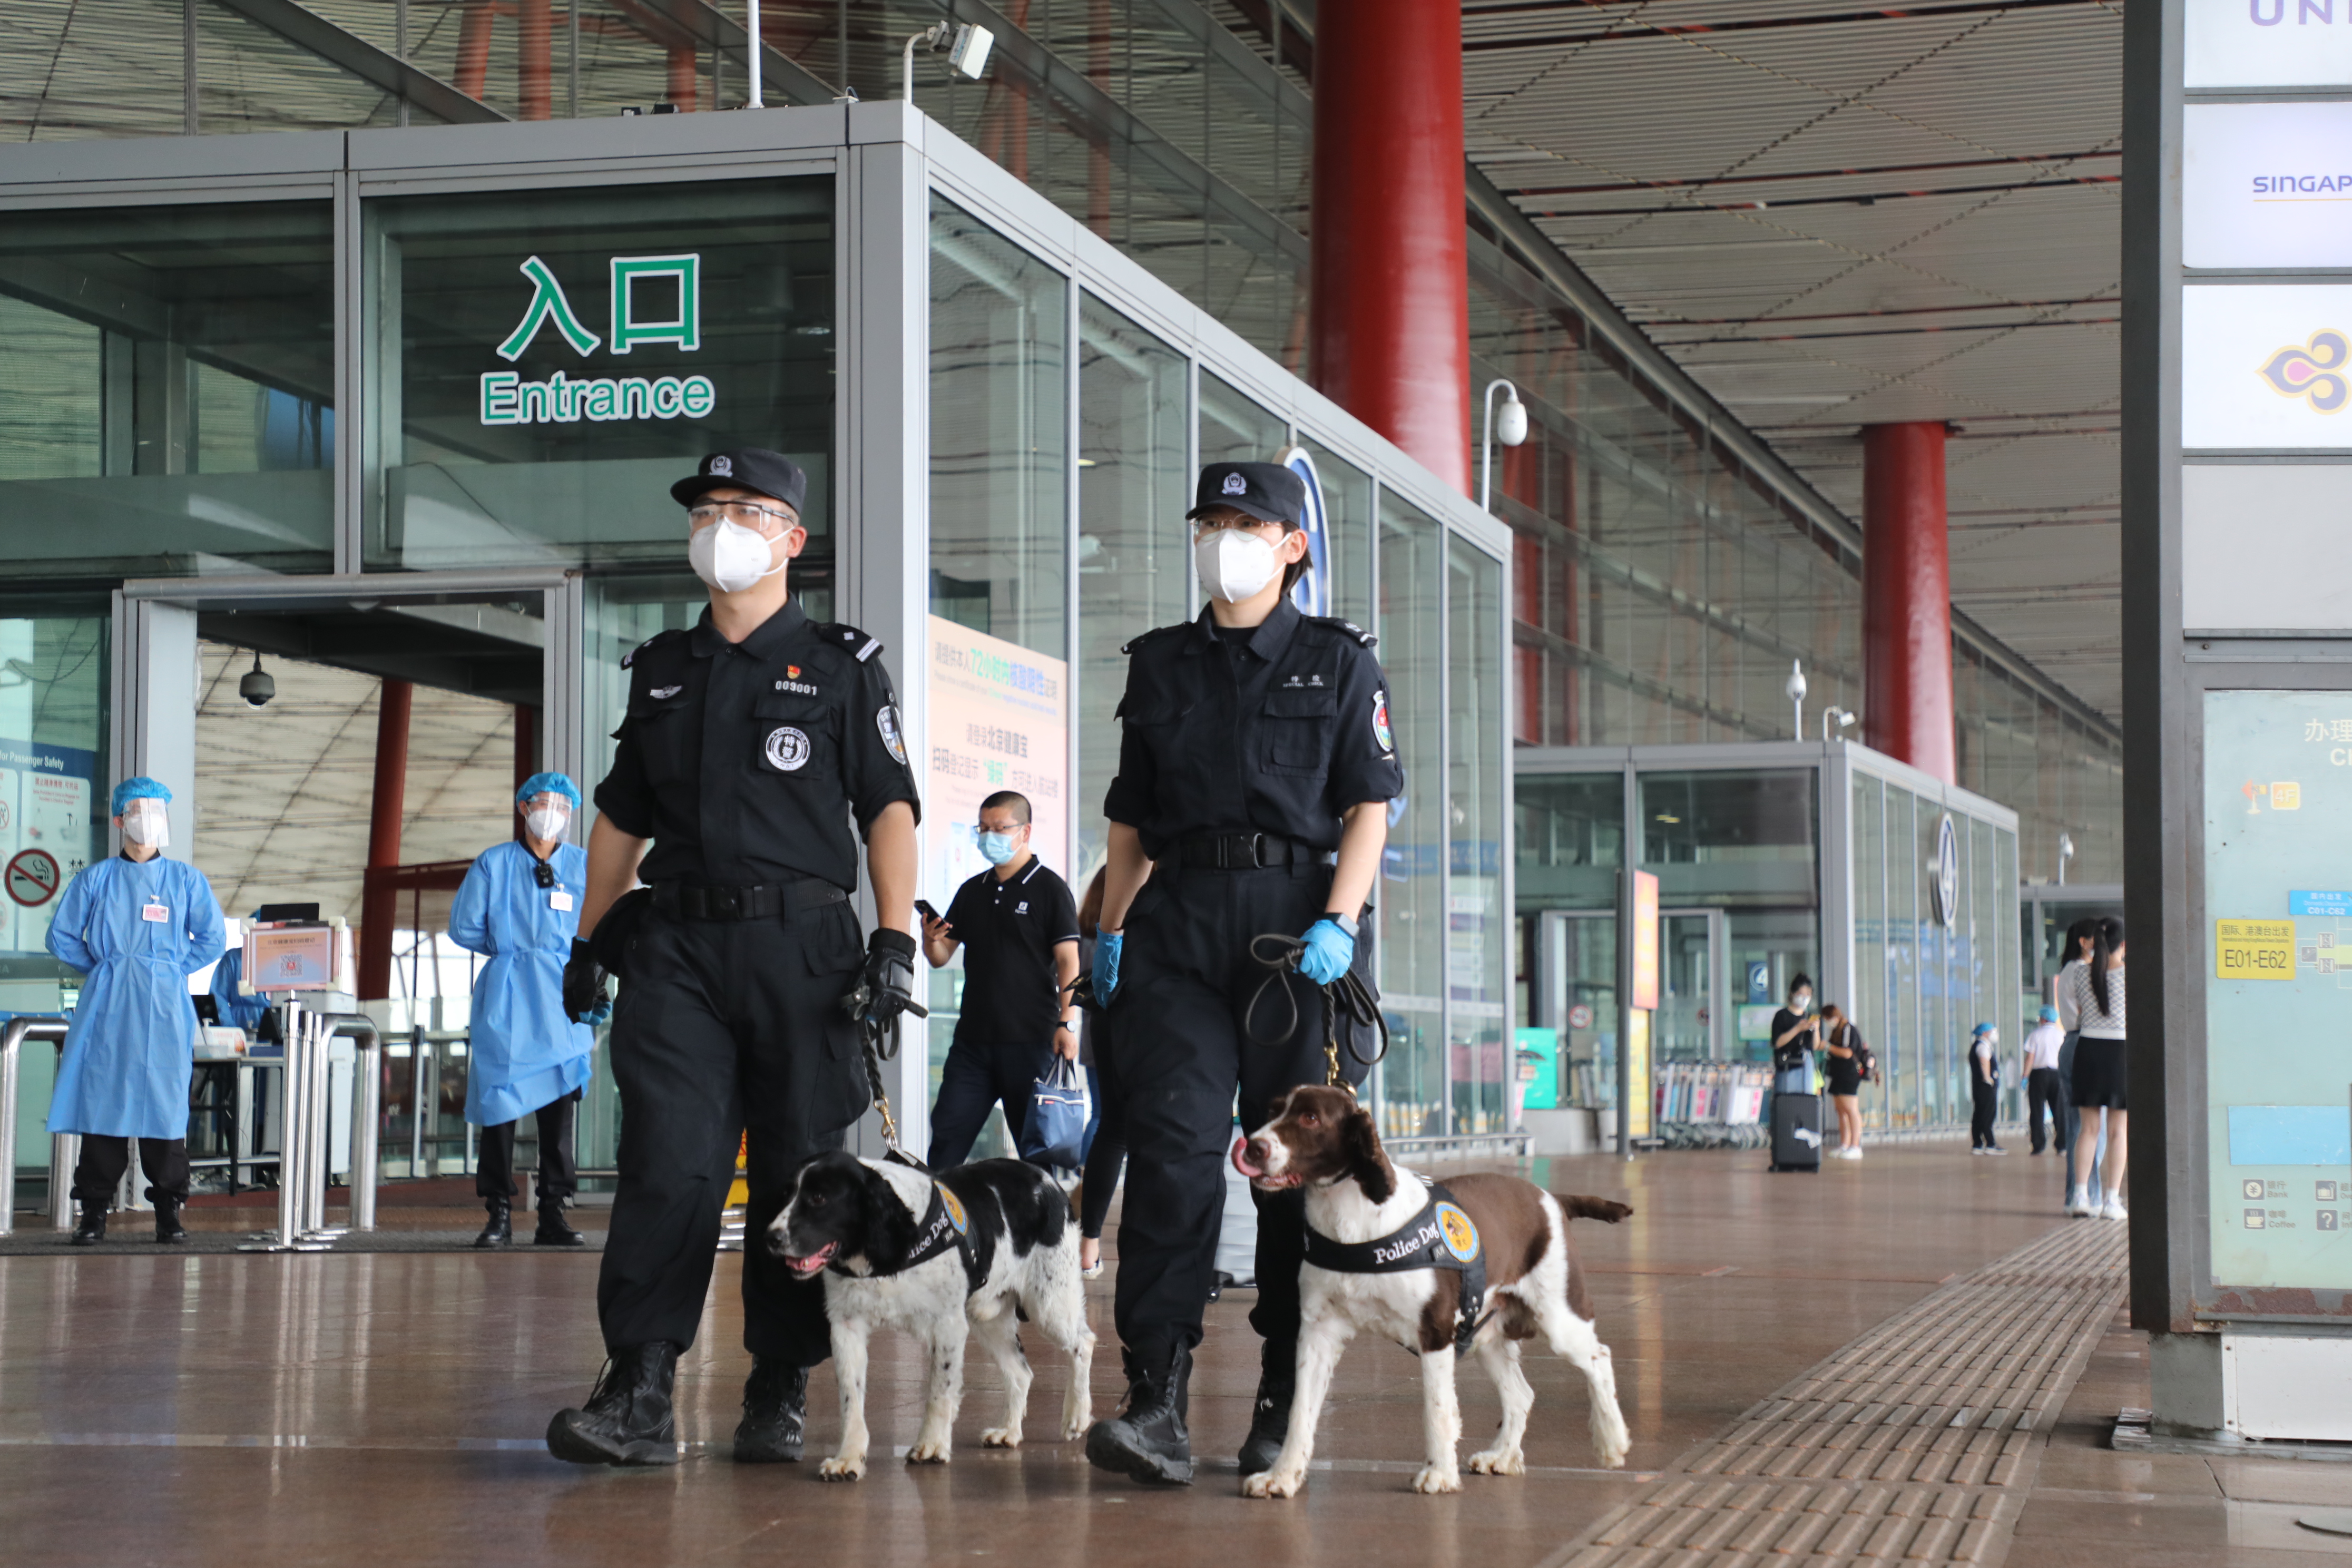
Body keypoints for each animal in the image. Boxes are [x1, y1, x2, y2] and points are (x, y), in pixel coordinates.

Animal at [776, 1147, 1096, 1476]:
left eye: (819, 1198)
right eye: (786, 1195)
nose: (772, 1237)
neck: (892, 1247)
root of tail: (1049, 1180)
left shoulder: (947, 1326)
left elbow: (940, 1391)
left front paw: (931, 1444)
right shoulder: (846, 1326)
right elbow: (850, 1399)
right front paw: (848, 1457)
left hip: (1049, 1303)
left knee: (1083, 1343)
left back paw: (1077, 1415)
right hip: (990, 1319)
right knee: (1020, 1372)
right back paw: (1009, 1431)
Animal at [1232, 1086, 1636, 1504]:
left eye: (1311, 1118)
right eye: (1273, 1111)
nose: (1253, 1147)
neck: (1353, 1219)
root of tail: (1552, 1199)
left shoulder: (1436, 1331)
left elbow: (1437, 1408)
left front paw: (1439, 1473)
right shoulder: (1318, 1332)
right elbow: (1301, 1411)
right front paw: (1281, 1476)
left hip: (1560, 1318)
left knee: (1599, 1358)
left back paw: (1612, 1441)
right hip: (1487, 1335)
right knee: (1521, 1394)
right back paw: (1503, 1456)